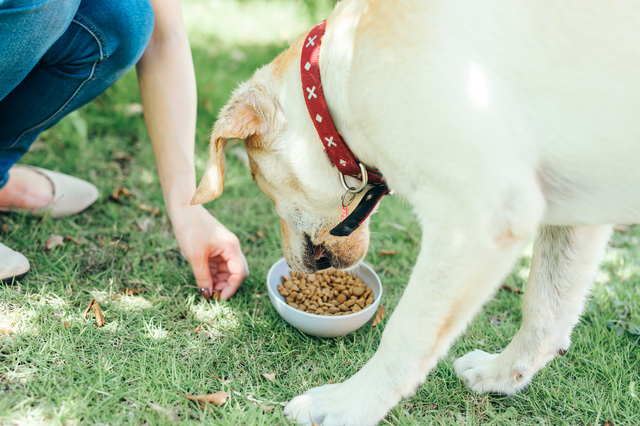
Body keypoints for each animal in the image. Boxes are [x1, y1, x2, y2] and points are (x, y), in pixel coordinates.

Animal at [192, 0, 640, 422]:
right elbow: (545, 310)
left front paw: (346, 405)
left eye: (256, 177)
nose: (291, 264)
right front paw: (501, 375)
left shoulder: (475, 219)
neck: (342, 75)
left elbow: (406, 334)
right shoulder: (573, 209)